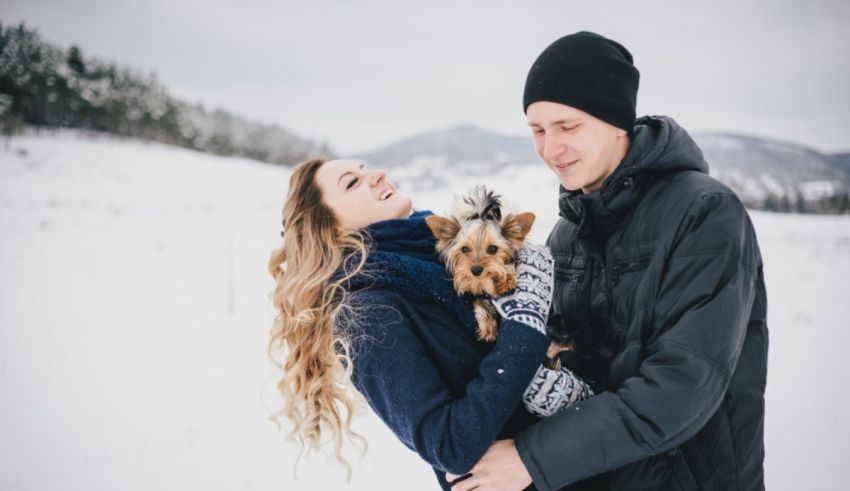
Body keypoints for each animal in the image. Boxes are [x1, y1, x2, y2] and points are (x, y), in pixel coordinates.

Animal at [428, 186, 532, 340]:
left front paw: (506, 280)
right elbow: (480, 303)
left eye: (493, 249)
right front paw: (488, 326)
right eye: (465, 249)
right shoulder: (476, 295)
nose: (476, 270)